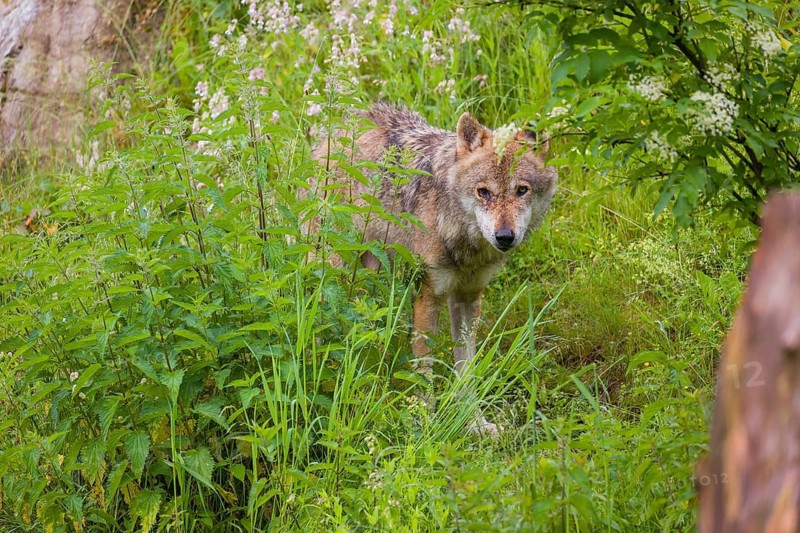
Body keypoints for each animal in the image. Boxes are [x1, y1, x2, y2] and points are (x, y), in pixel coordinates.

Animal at [311, 102, 557, 435]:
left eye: (522, 190)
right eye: (483, 192)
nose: (504, 237)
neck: (461, 239)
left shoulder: (468, 297)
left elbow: (466, 369)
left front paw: (473, 422)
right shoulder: (427, 296)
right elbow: (423, 373)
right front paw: (426, 425)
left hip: (368, 277)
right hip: (333, 270)